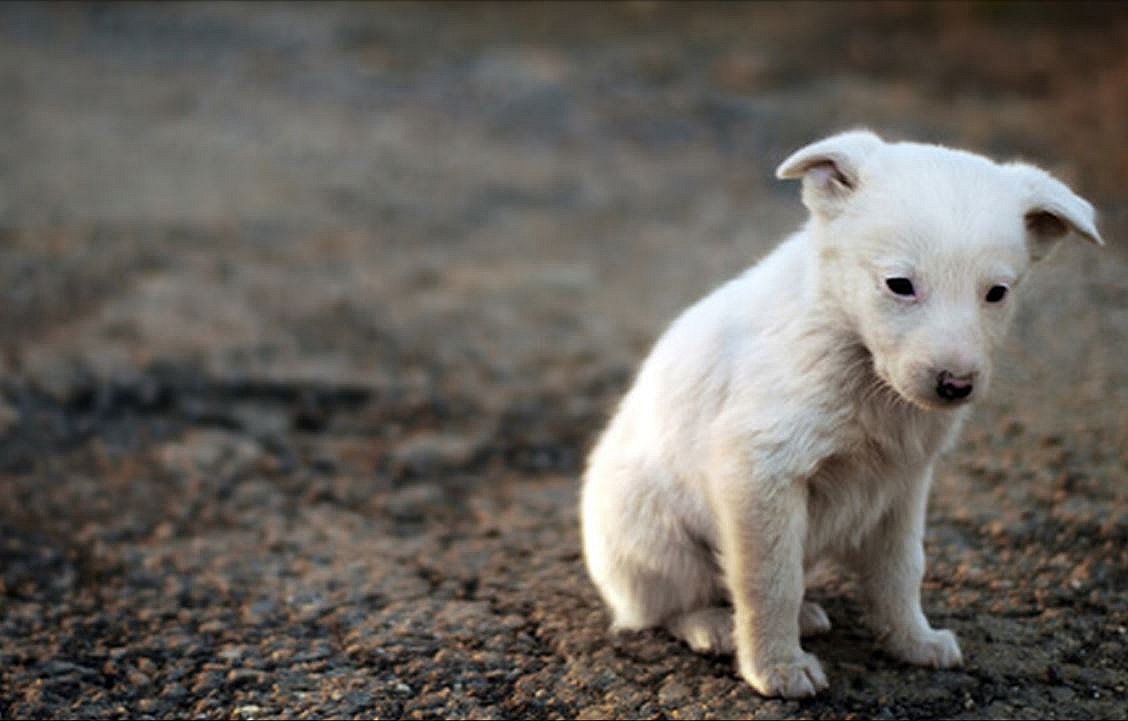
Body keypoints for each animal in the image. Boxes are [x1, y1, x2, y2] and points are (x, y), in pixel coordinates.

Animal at [582, 130, 1100, 699]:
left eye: (997, 293)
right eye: (899, 284)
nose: (956, 386)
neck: (859, 361)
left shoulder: (903, 483)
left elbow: (901, 571)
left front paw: (913, 641)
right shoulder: (760, 471)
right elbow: (770, 581)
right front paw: (777, 668)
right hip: (655, 537)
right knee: (667, 606)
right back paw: (713, 625)